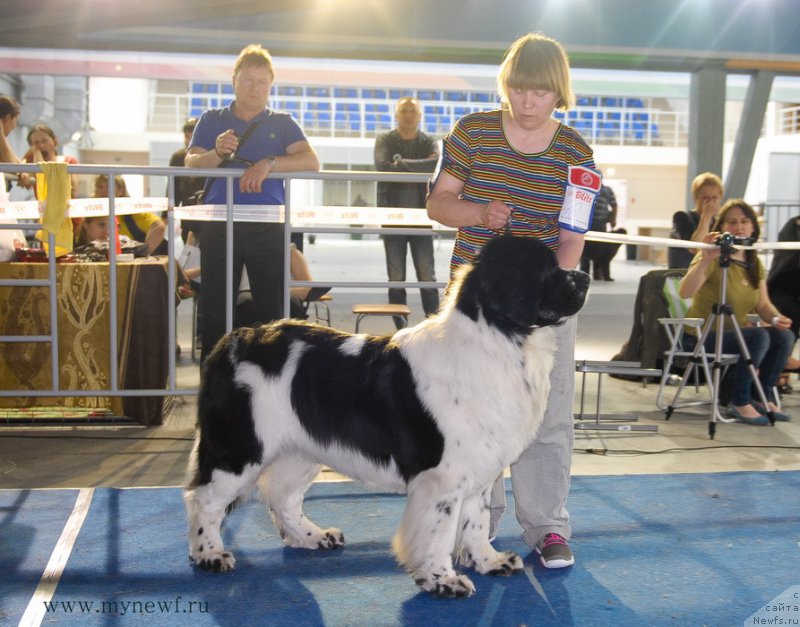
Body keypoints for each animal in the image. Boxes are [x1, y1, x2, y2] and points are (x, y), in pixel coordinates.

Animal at [186, 236, 588, 600]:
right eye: (548, 270)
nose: (584, 276)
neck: (499, 338)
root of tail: (235, 340)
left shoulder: (478, 469)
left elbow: (476, 521)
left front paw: (488, 562)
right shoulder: (442, 478)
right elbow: (439, 532)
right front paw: (443, 581)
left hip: (298, 450)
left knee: (283, 498)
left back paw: (314, 537)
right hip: (240, 447)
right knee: (204, 499)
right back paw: (210, 555)